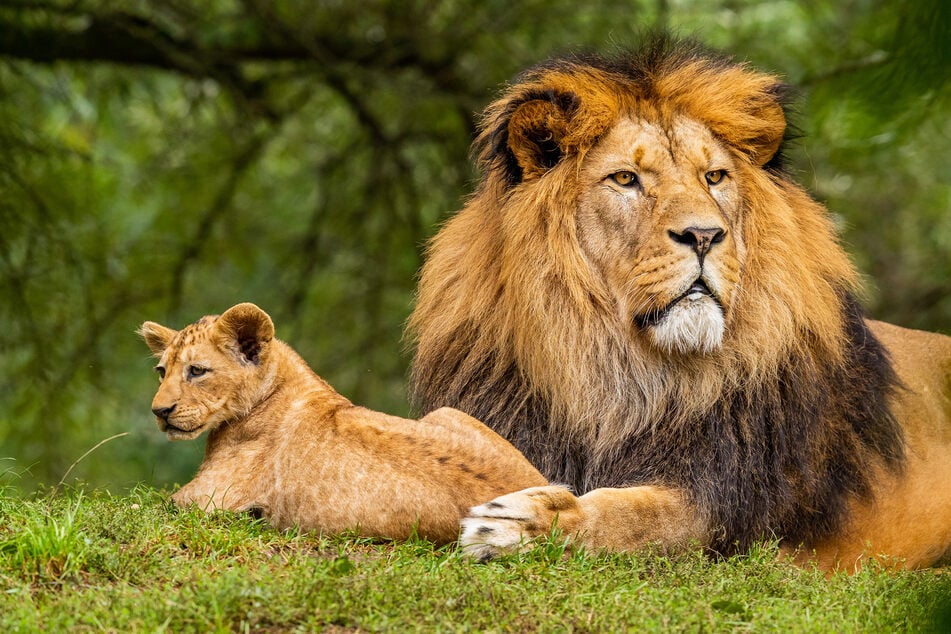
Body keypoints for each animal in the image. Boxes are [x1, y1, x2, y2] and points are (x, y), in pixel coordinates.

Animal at [139, 302, 546, 543]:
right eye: (161, 372)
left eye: (197, 371)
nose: (159, 411)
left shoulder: (205, 499)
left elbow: (149, 506)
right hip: (446, 412)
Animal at [407, 38, 951, 570]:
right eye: (625, 179)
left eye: (714, 177)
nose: (705, 235)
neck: (620, 376)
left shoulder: (726, 505)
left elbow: (632, 516)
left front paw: (524, 523)